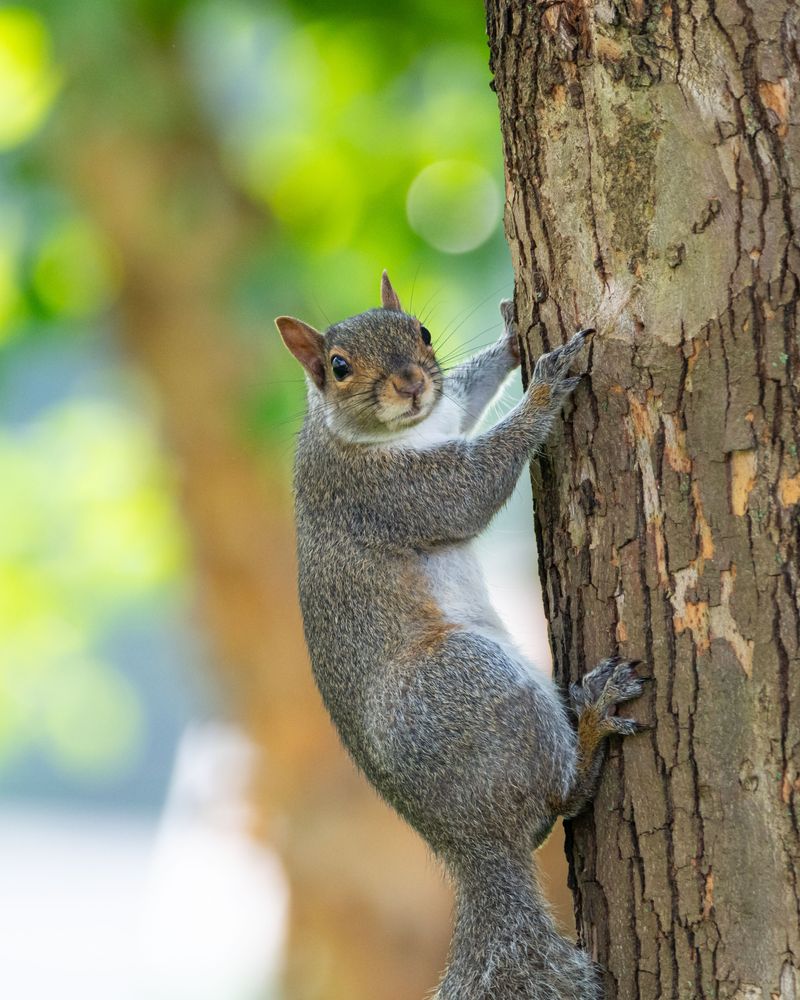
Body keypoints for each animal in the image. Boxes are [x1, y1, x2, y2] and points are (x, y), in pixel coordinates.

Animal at [275, 271, 644, 1000]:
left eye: (420, 331)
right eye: (338, 367)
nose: (412, 382)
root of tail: (468, 848)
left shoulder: (447, 411)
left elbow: (470, 392)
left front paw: (510, 335)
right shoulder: (388, 493)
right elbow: (471, 489)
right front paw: (546, 385)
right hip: (469, 677)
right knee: (564, 800)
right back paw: (592, 722)